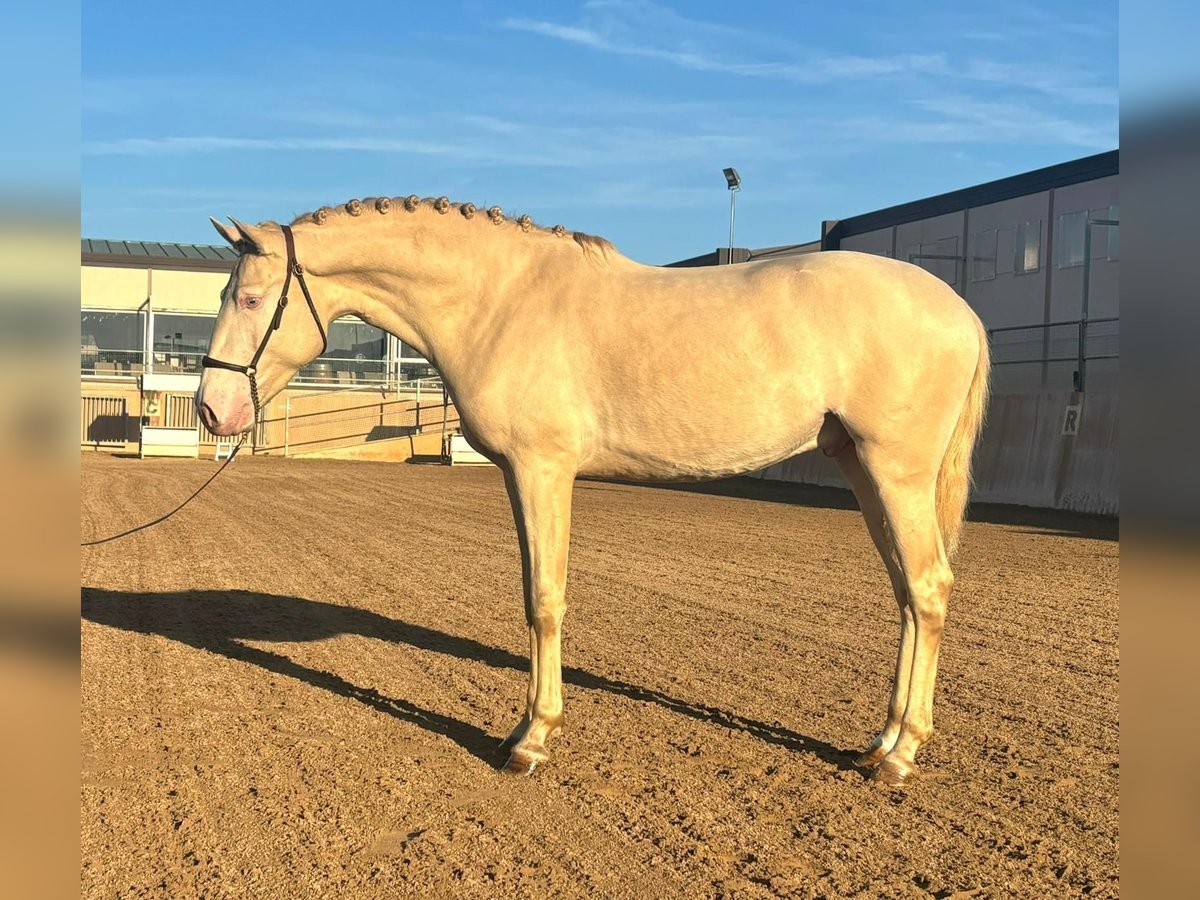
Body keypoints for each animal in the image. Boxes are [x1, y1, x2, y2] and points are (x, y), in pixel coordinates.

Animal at [196, 195, 988, 782]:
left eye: (252, 298)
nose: (210, 409)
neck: (502, 301)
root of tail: (960, 309)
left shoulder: (542, 470)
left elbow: (543, 601)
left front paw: (530, 739)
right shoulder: (522, 476)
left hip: (895, 472)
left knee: (927, 588)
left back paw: (900, 756)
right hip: (863, 469)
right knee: (908, 595)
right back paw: (883, 740)